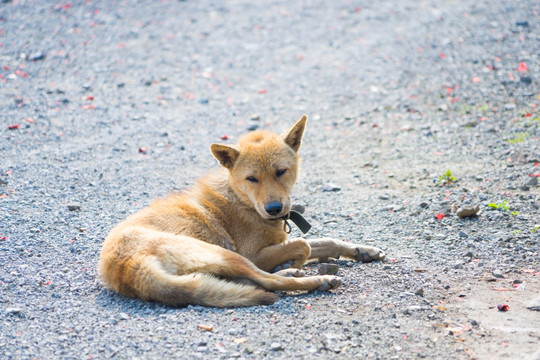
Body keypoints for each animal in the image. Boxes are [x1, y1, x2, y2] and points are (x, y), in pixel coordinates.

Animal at [97, 115, 384, 306]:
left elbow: (326, 241)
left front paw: (362, 250)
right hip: (226, 255)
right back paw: (311, 279)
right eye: (252, 178)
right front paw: (292, 262)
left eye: (281, 172)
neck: (242, 200)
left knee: (249, 282)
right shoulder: (254, 254)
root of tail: (130, 268)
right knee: (271, 283)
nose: (274, 209)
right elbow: (305, 245)